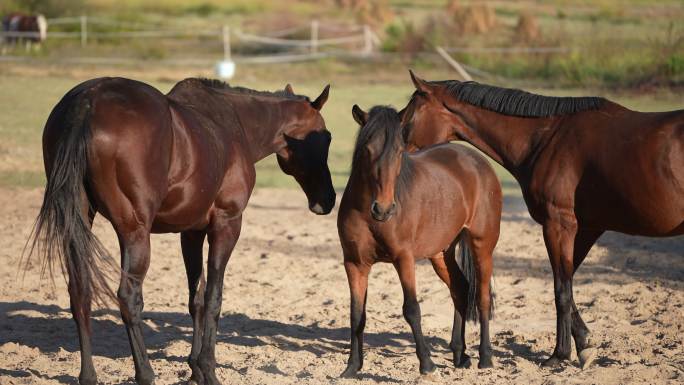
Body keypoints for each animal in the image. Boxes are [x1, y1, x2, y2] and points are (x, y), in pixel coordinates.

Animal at [28, 77, 336, 384]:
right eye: (326, 137)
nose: (328, 199)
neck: (234, 125)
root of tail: (87, 102)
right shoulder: (226, 224)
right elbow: (213, 298)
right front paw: (208, 369)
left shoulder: (191, 232)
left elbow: (196, 300)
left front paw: (195, 368)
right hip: (134, 233)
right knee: (128, 299)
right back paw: (145, 373)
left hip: (78, 226)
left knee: (80, 293)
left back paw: (88, 376)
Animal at [338, 105, 502, 376]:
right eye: (367, 149)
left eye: (399, 151)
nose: (383, 209)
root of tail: (476, 160)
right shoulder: (355, 264)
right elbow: (356, 314)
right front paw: (352, 367)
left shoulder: (403, 259)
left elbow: (412, 309)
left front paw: (427, 364)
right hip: (441, 253)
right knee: (460, 288)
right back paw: (460, 355)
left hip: (482, 245)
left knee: (482, 296)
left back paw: (485, 357)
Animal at [400, 70, 684, 368]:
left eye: (410, 117)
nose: (398, 157)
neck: (548, 138)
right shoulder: (585, 228)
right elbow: (567, 282)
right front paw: (584, 343)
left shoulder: (558, 224)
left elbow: (561, 290)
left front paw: (559, 354)